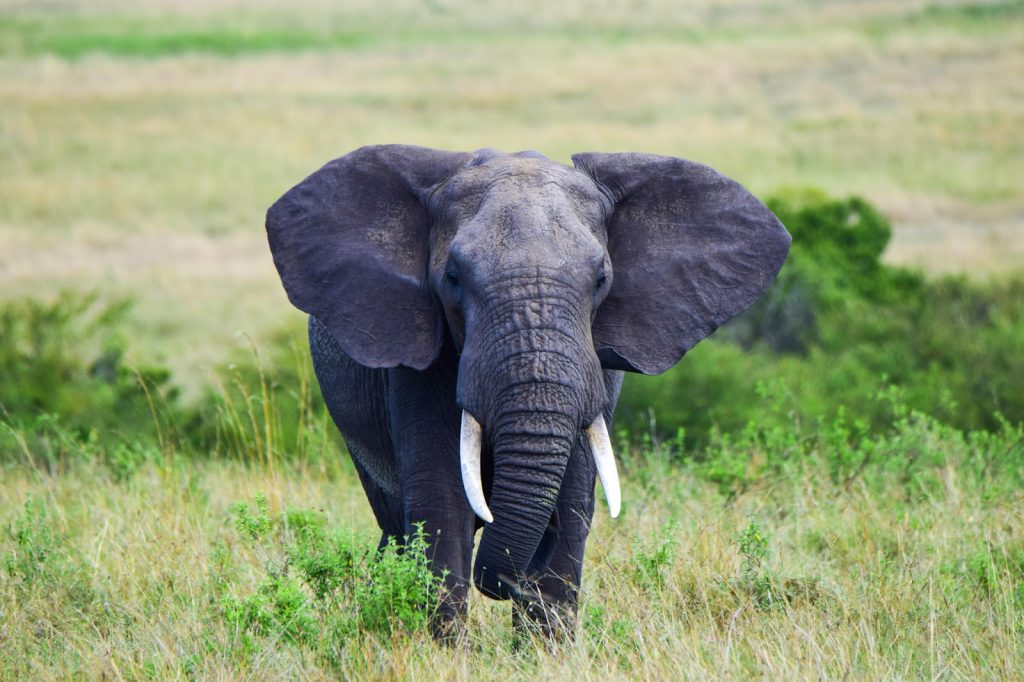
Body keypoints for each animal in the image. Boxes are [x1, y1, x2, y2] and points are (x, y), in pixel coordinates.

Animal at [265, 145, 790, 639]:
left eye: (601, 280)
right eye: (453, 278)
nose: (512, 584)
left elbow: (574, 500)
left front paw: (544, 650)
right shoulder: (418, 365)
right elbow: (441, 504)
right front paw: (447, 655)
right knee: (395, 523)